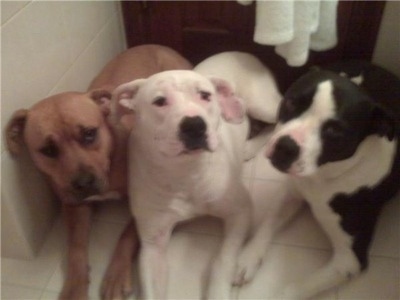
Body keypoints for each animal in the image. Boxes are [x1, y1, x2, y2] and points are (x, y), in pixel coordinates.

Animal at [4, 45, 192, 300]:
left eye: (89, 133)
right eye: (48, 150)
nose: (84, 182)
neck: (111, 159)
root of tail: (158, 46)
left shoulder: (146, 204)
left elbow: (127, 236)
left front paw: (116, 275)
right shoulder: (75, 206)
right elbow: (75, 247)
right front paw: (74, 286)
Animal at [111, 51, 282, 298]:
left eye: (205, 95)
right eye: (159, 101)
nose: (194, 125)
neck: (185, 172)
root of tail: (244, 53)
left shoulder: (240, 212)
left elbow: (223, 261)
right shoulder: (153, 245)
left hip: (262, 105)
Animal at [234, 61, 400, 298]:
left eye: (334, 131)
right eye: (292, 102)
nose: (286, 147)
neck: (323, 177)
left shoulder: (349, 261)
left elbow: (292, 290)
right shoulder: (292, 193)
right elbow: (267, 224)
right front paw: (247, 258)